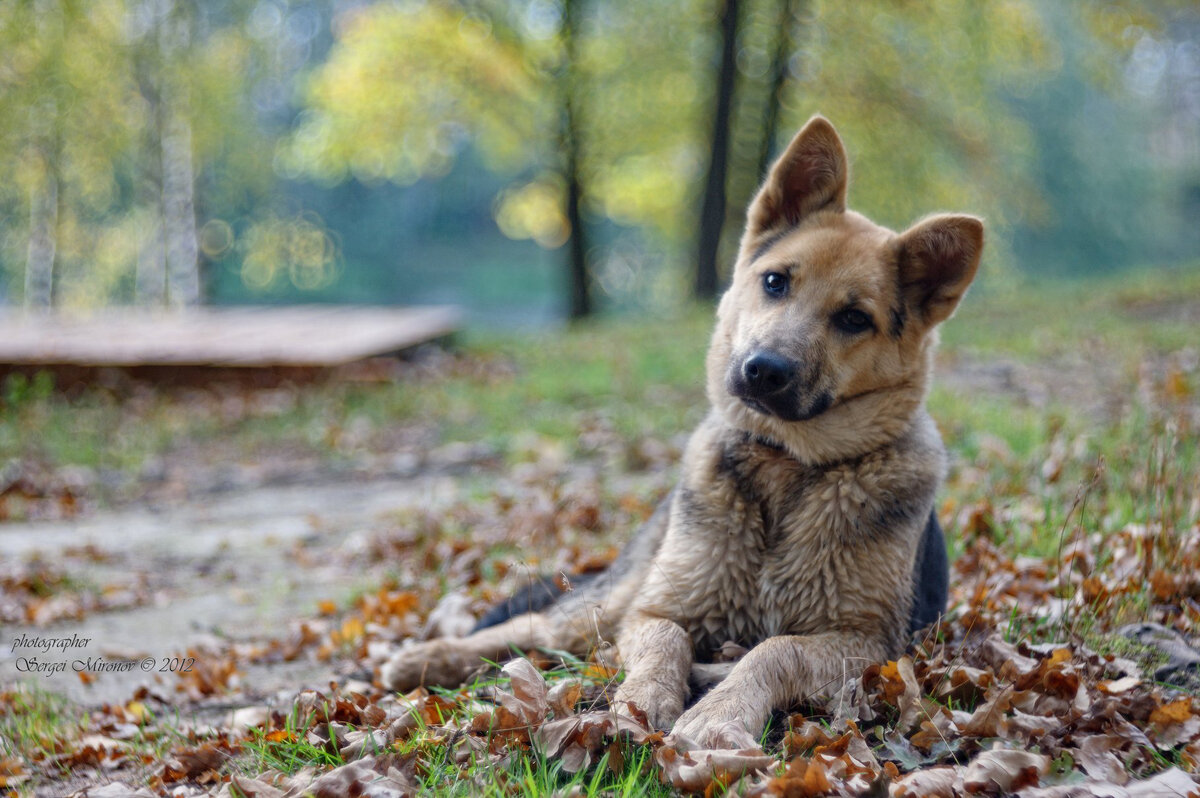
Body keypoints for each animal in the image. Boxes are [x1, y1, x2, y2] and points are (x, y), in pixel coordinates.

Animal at [379, 115, 979, 748]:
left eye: (854, 319)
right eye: (775, 282)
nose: (764, 370)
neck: (785, 463)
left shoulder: (864, 642)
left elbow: (773, 648)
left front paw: (720, 712)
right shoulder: (657, 612)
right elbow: (667, 642)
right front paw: (640, 704)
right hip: (607, 604)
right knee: (536, 627)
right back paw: (430, 658)